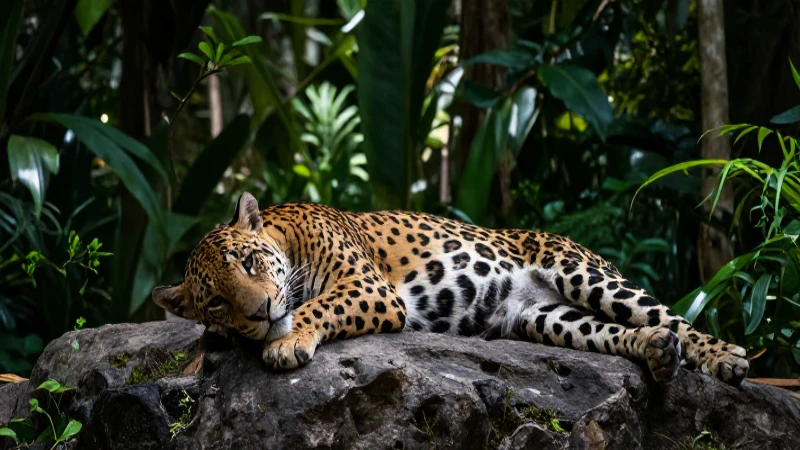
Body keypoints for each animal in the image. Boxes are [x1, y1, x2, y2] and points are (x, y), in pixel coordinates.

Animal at [152, 192, 749, 386]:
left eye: (250, 261)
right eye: (215, 302)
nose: (260, 312)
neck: (284, 233)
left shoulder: (368, 285)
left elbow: (320, 304)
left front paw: (287, 340)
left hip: (581, 270)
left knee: (671, 317)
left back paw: (725, 358)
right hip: (546, 317)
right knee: (621, 333)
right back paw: (657, 353)